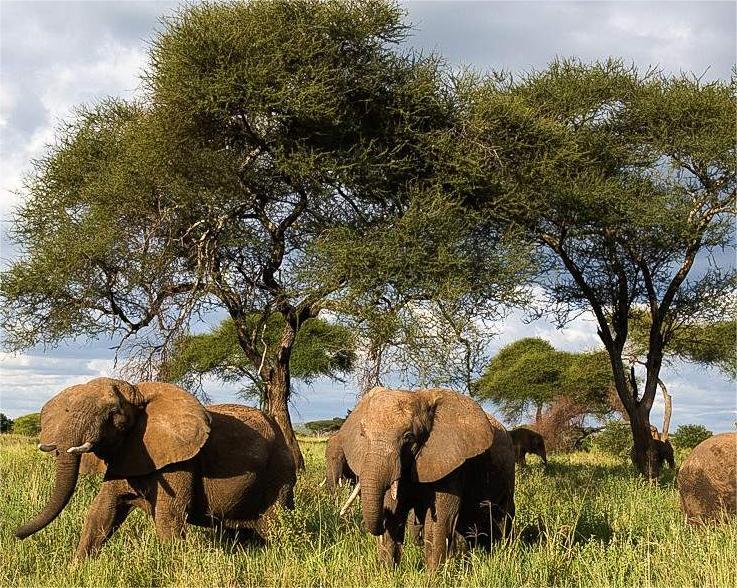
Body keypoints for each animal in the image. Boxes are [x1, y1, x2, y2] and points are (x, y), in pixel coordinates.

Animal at [14, 377, 296, 559]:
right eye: (67, 409)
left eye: (114, 412)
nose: (15, 533)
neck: (138, 391)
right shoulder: (126, 453)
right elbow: (102, 511)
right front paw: (75, 570)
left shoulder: (181, 461)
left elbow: (168, 516)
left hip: (278, 473)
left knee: (276, 525)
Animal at [338, 386, 515, 571]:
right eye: (362, 434)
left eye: (409, 437)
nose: (383, 514)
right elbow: (395, 513)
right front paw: (387, 572)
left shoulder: (451, 464)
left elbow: (440, 521)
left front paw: (433, 576)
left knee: (503, 517)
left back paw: (502, 552)